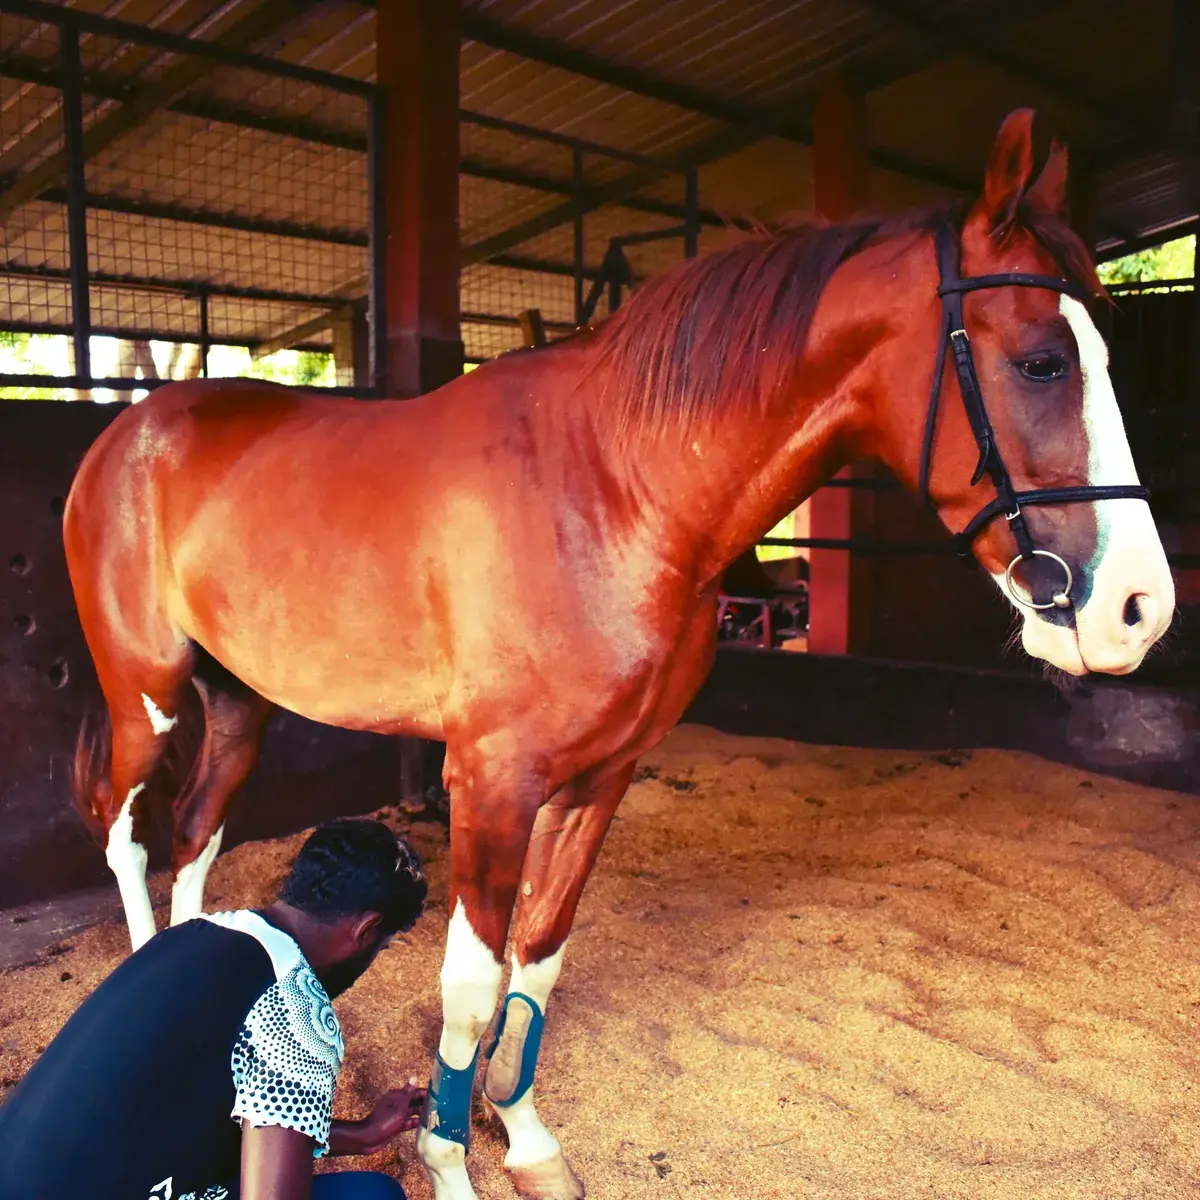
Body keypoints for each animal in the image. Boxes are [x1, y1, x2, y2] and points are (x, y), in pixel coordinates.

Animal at [63, 109, 1173, 1200]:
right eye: (1040, 361)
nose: (1140, 610)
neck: (610, 489)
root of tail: (128, 435)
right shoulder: (494, 782)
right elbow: (471, 990)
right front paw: (449, 1163)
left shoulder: (601, 776)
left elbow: (538, 964)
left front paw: (525, 1141)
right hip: (145, 696)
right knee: (128, 837)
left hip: (239, 703)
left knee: (197, 837)